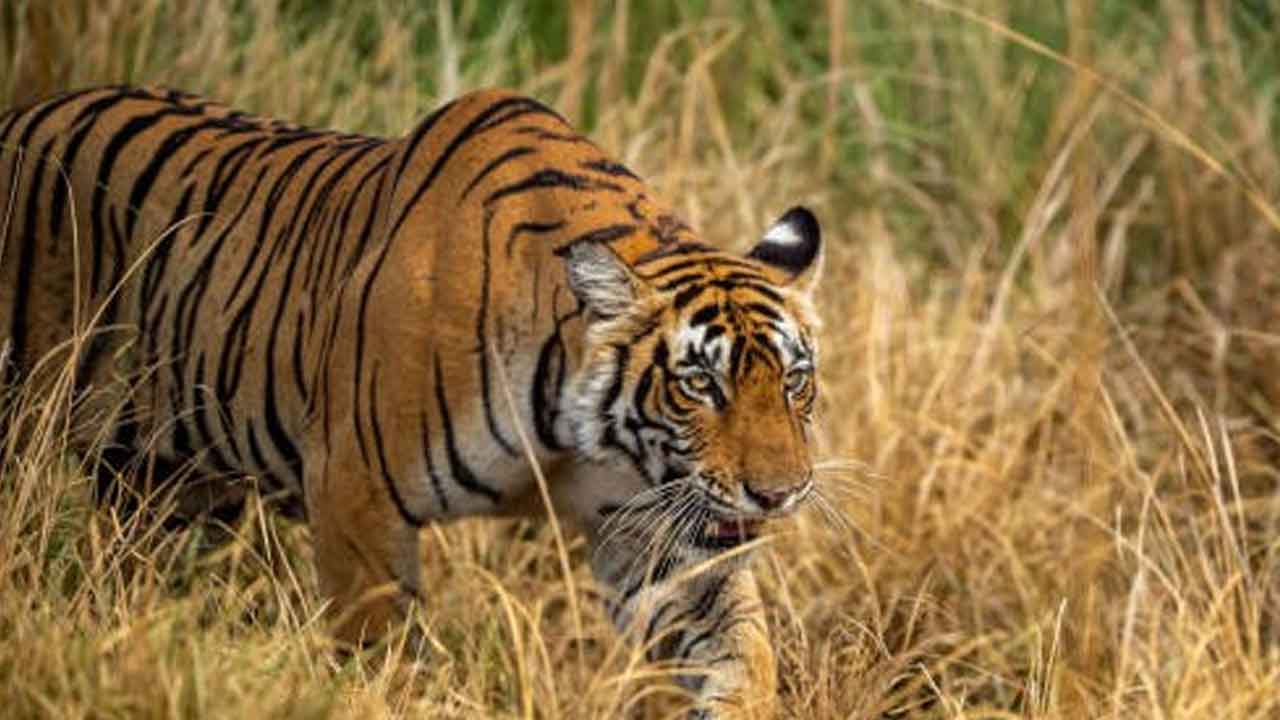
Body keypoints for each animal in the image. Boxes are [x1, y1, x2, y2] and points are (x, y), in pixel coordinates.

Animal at [0, 85, 823, 718]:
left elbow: (737, 651)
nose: (780, 494)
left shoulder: (656, 532)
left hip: (166, 490)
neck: (573, 432)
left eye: (794, 382)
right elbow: (382, 653)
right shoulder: (353, 494)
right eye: (700, 385)